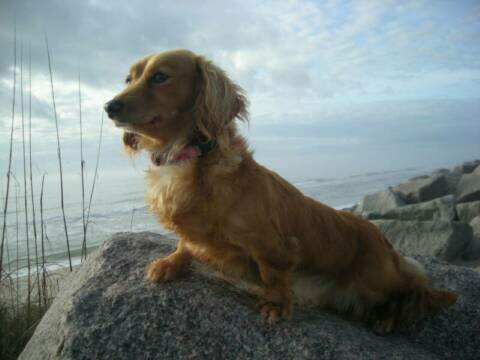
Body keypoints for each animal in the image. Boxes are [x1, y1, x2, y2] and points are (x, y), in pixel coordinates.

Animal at [105, 49, 458, 334]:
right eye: (128, 78)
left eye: (160, 77)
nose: (109, 106)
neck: (186, 156)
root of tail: (383, 241)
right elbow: (186, 244)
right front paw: (170, 262)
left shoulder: (272, 244)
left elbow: (272, 273)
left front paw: (276, 305)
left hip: (377, 279)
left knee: (415, 285)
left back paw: (390, 317)